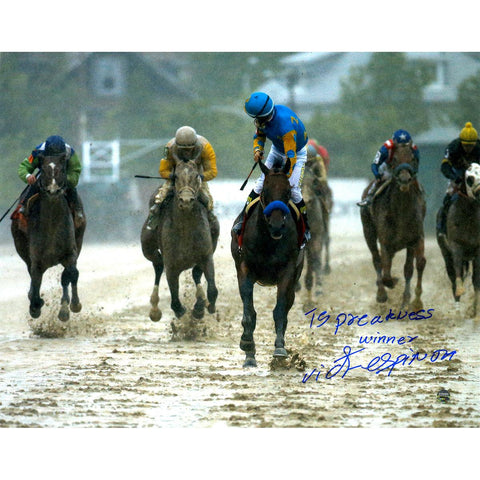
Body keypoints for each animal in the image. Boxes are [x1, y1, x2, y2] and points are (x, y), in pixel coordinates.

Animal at [10, 152, 86, 320]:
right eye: (43, 170)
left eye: (62, 170)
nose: (53, 190)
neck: (52, 225)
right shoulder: (36, 258)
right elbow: (35, 280)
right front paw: (35, 305)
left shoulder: (70, 252)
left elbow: (70, 274)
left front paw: (70, 306)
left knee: (68, 276)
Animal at [141, 158, 219, 322]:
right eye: (175, 177)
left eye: (197, 176)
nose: (186, 200)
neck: (185, 228)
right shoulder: (171, 265)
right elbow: (175, 301)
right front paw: (182, 311)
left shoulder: (206, 256)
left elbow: (212, 289)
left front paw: (202, 307)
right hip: (148, 247)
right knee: (158, 266)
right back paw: (155, 309)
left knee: (195, 273)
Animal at [230, 160, 304, 368]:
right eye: (265, 192)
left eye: (288, 192)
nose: (277, 225)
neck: (268, 241)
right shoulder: (245, 268)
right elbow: (249, 312)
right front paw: (247, 344)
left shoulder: (287, 271)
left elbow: (280, 311)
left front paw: (279, 349)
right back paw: (250, 356)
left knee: (286, 308)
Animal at [360, 144, 428, 308]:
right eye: (395, 158)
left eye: (412, 158)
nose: (404, 179)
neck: (401, 212)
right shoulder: (385, 241)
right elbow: (385, 272)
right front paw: (390, 285)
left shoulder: (415, 239)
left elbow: (414, 266)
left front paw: (413, 302)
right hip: (368, 231)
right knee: (377, 259)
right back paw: (381, 294)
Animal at [436, 163, 480, 316]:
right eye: (469, 178)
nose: (479, 192)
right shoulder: (456, 246)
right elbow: (457, 271)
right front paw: (460, 291)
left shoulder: (478, 250)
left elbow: (476, 280)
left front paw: (475, 310)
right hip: (445, 252)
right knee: (452, 275)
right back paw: (457, 307)